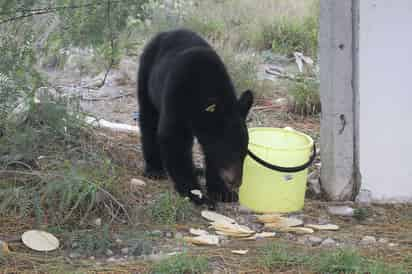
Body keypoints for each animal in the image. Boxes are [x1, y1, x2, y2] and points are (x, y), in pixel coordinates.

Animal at [138, 29, 253, 206]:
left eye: (244, 153)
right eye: (229, 152)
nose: (237, 182)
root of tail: (164, 32)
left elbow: (209, 151)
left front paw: (222, 192)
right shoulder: (176, 95)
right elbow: (174, 140)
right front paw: (196, 194)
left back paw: (198, 170)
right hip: (146, 77)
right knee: (148, 121)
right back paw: (155, 168)